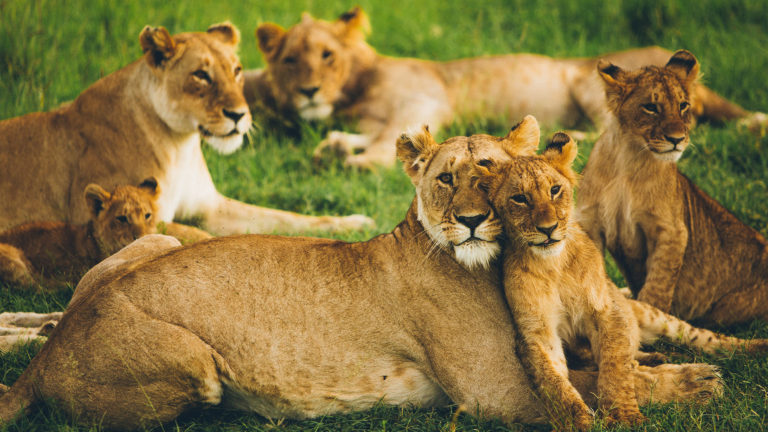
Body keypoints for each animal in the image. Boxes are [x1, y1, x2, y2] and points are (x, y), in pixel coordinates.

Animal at [0, 23, 373, 235]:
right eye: (201, 75)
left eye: (237, 70)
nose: (239, 115)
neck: (180, 144)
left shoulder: (211, 207)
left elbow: (287, 217)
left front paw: (355, 223)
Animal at [0, 117, 722, 430]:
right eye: (446, 179)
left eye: (490, 171)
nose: (469, 221)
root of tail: (49, 356)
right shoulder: (494, 394)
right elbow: (587, 385)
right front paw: (697, 383)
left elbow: (609, 361)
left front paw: (668, 362)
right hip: (196, 365)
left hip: (152, 239)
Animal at [244, 7, 767, 168]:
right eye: (290, 60)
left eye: (327, 55)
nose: (309, 91)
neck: (354, 91)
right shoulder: (378, 118)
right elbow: (373, 136)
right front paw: (335, 145)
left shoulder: (423, 100)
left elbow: (386, 144)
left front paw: (355, 161)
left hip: (588, 81)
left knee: (613, 131)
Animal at [481, 129, 768, 430]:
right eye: (519, 198)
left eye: (554, 190)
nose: (548, 229)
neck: (553, 265)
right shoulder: (537, 333)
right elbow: (555, 385)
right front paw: (578, 422)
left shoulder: (607, 310)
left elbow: (614, 367)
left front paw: (624, 415)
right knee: (634, 358)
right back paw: (658, 359)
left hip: (653, 314)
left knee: (706, 339)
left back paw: (755, 348)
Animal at [577, 49, 768, 326]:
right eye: (651, 107)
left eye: (683, 106)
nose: (677, 139)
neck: (628, 159)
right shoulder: (590, 223)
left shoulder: (672, 230)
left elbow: (658, 285)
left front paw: (651, 320)